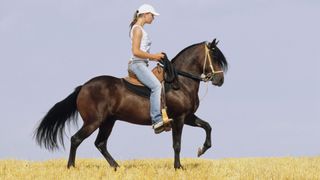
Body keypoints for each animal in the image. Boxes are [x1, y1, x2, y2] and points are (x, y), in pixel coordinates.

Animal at [34, 38, 228, 169]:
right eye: (214, 56)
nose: (220, 80)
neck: (180, 81)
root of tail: (83, 87)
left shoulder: (188, 117)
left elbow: (207, 126)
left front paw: (202, 149)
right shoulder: (179, 118)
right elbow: (177, 144)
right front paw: (178, 167)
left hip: (108, 122)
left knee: (100, 144)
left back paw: (116, 167)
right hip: (93, 122)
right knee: (76, 139)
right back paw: (71, 167)